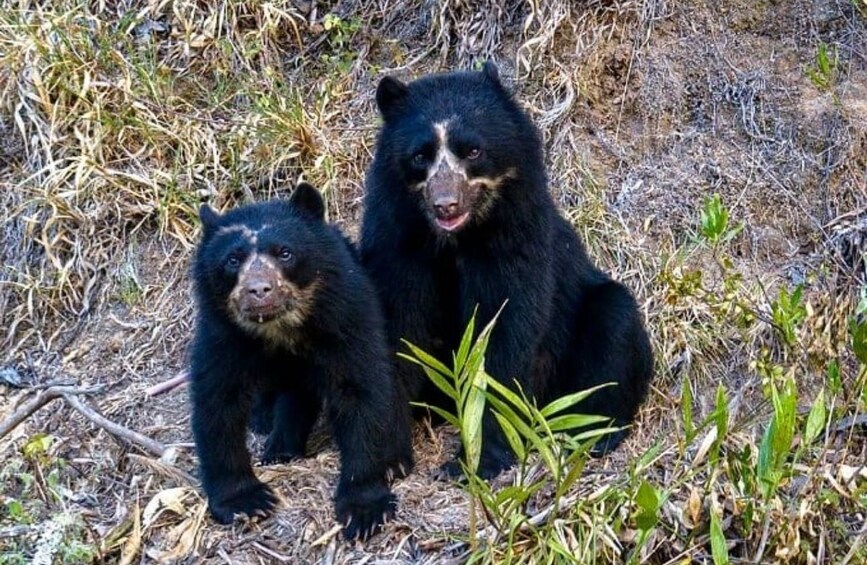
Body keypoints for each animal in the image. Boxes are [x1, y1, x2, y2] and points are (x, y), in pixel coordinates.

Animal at [188, 182, 413, 540]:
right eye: (232, 260)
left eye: (285, 253)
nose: (259, 291)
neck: (281, 329)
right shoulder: (224, 335)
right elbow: (218, 402)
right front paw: (246, 501)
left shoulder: (345, 318)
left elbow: (360, 390)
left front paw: (364, 508)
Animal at [359, 62, 654, 479]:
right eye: (420, 156)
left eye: (473, 151)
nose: (446, 205)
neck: (455, 240)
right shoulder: (398, 242)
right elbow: (397, 328)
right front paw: (388, 461)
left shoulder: (515, 240)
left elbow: (504, 334)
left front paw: (475, 459)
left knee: (615, 323)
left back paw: (593, 434)